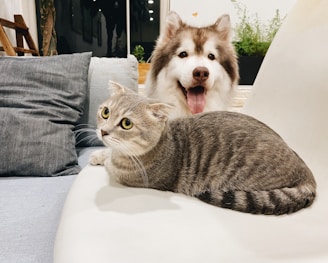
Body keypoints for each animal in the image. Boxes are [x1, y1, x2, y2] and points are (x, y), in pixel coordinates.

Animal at [89, 83, 316, 217]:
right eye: (105, 112)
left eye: (126, 123)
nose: (103, 131)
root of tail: (306, 171)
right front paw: (99, 154)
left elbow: (111, 164)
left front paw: (103, 157)